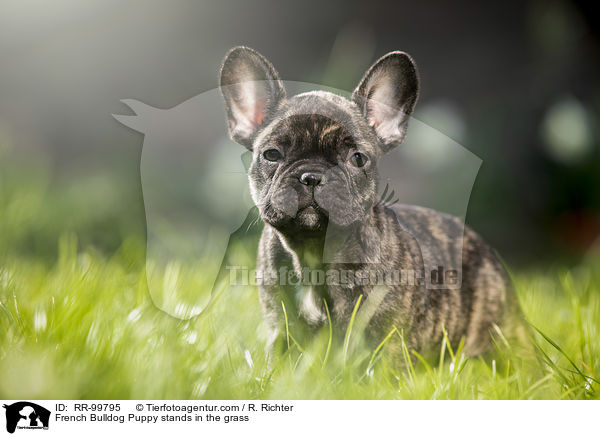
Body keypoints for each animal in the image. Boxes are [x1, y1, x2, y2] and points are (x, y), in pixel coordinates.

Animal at [218, 46, 524, 362]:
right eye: (272, 154)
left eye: (357, 158)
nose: (312, 176)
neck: (314, 251)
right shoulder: (281, 329)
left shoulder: (389, 341)